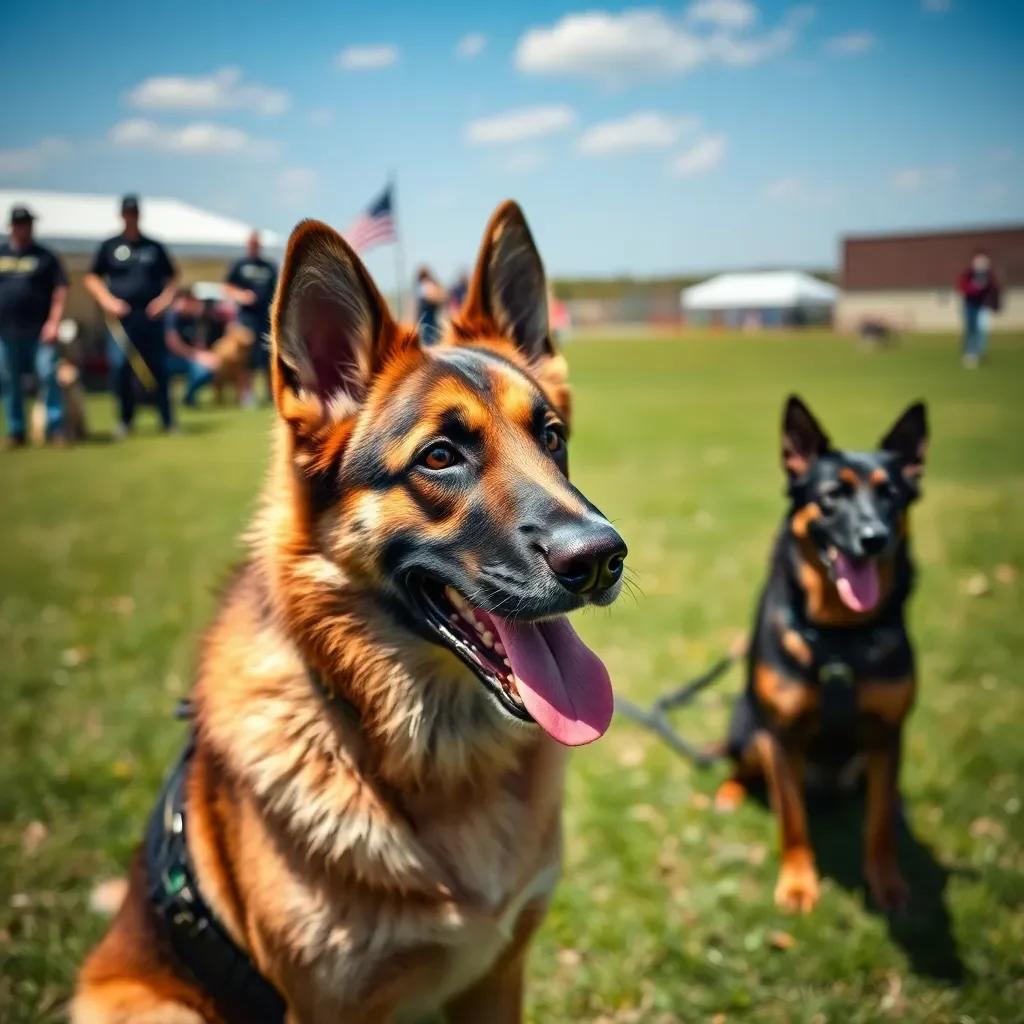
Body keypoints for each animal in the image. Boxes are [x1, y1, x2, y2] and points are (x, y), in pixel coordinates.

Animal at [712, 395, 929, 917]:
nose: (874, 538)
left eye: (891, 496)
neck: (839, 637)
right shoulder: (783, 737)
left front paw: (888, 884)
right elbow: (792, 821)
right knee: (743, 766)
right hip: (750, 729)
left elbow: (878, 826)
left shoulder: (887, 736)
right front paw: (797, 884)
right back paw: (730, 791)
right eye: (832, 496)